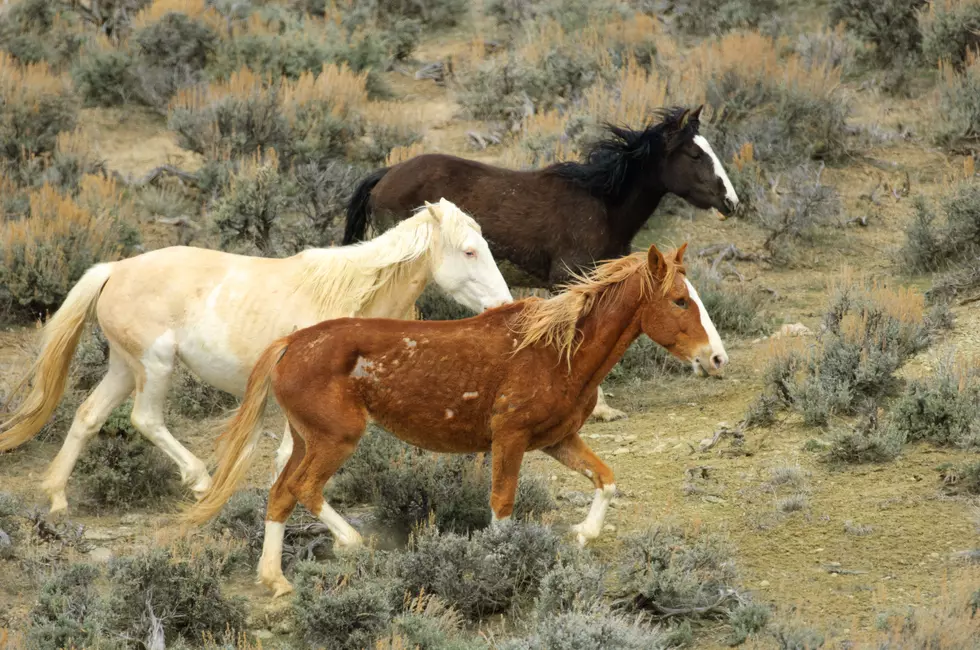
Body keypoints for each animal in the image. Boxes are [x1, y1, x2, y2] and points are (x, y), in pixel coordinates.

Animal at [0, 197, 510, 512]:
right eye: (469, 251)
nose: (504, 304)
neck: (348, 295)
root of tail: (113, 269)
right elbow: (287, 458)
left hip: (125, 368)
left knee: (87, 415)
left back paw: (57, 498)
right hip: (154, 366)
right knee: (146, 419)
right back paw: (201, 481)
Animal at [182, 240, 728, 596]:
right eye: (680, 300)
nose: (717, 358)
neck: (558, 351)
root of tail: (291, 344)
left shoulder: (558, 440)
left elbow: (606, 479)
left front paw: (583, 533)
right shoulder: (509, 439)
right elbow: (503, 506)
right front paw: (503, 564)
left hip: (306, 437)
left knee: (279, 493)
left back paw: (275, 579)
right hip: (336, 438)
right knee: (303, 488)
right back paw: (354, 544)